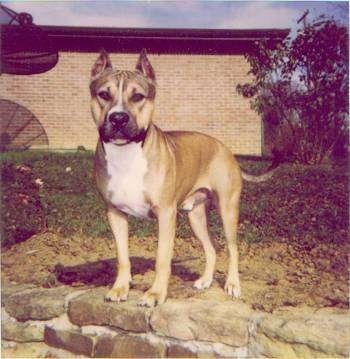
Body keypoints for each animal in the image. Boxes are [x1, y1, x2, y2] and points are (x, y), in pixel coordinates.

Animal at [90, 50, 278, 310]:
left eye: (138, 96)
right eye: (104, 95)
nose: (118, 118)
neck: (126, 154)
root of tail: (225, 149)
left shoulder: (166, 214)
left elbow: (162, 258)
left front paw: (155, 294)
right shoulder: (115, 213)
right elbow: (122, 257)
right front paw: (119, 289)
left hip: (228, 210)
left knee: (232, 248)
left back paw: (232, 285)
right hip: (195, 215)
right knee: (211, 248)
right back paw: (205, 280)